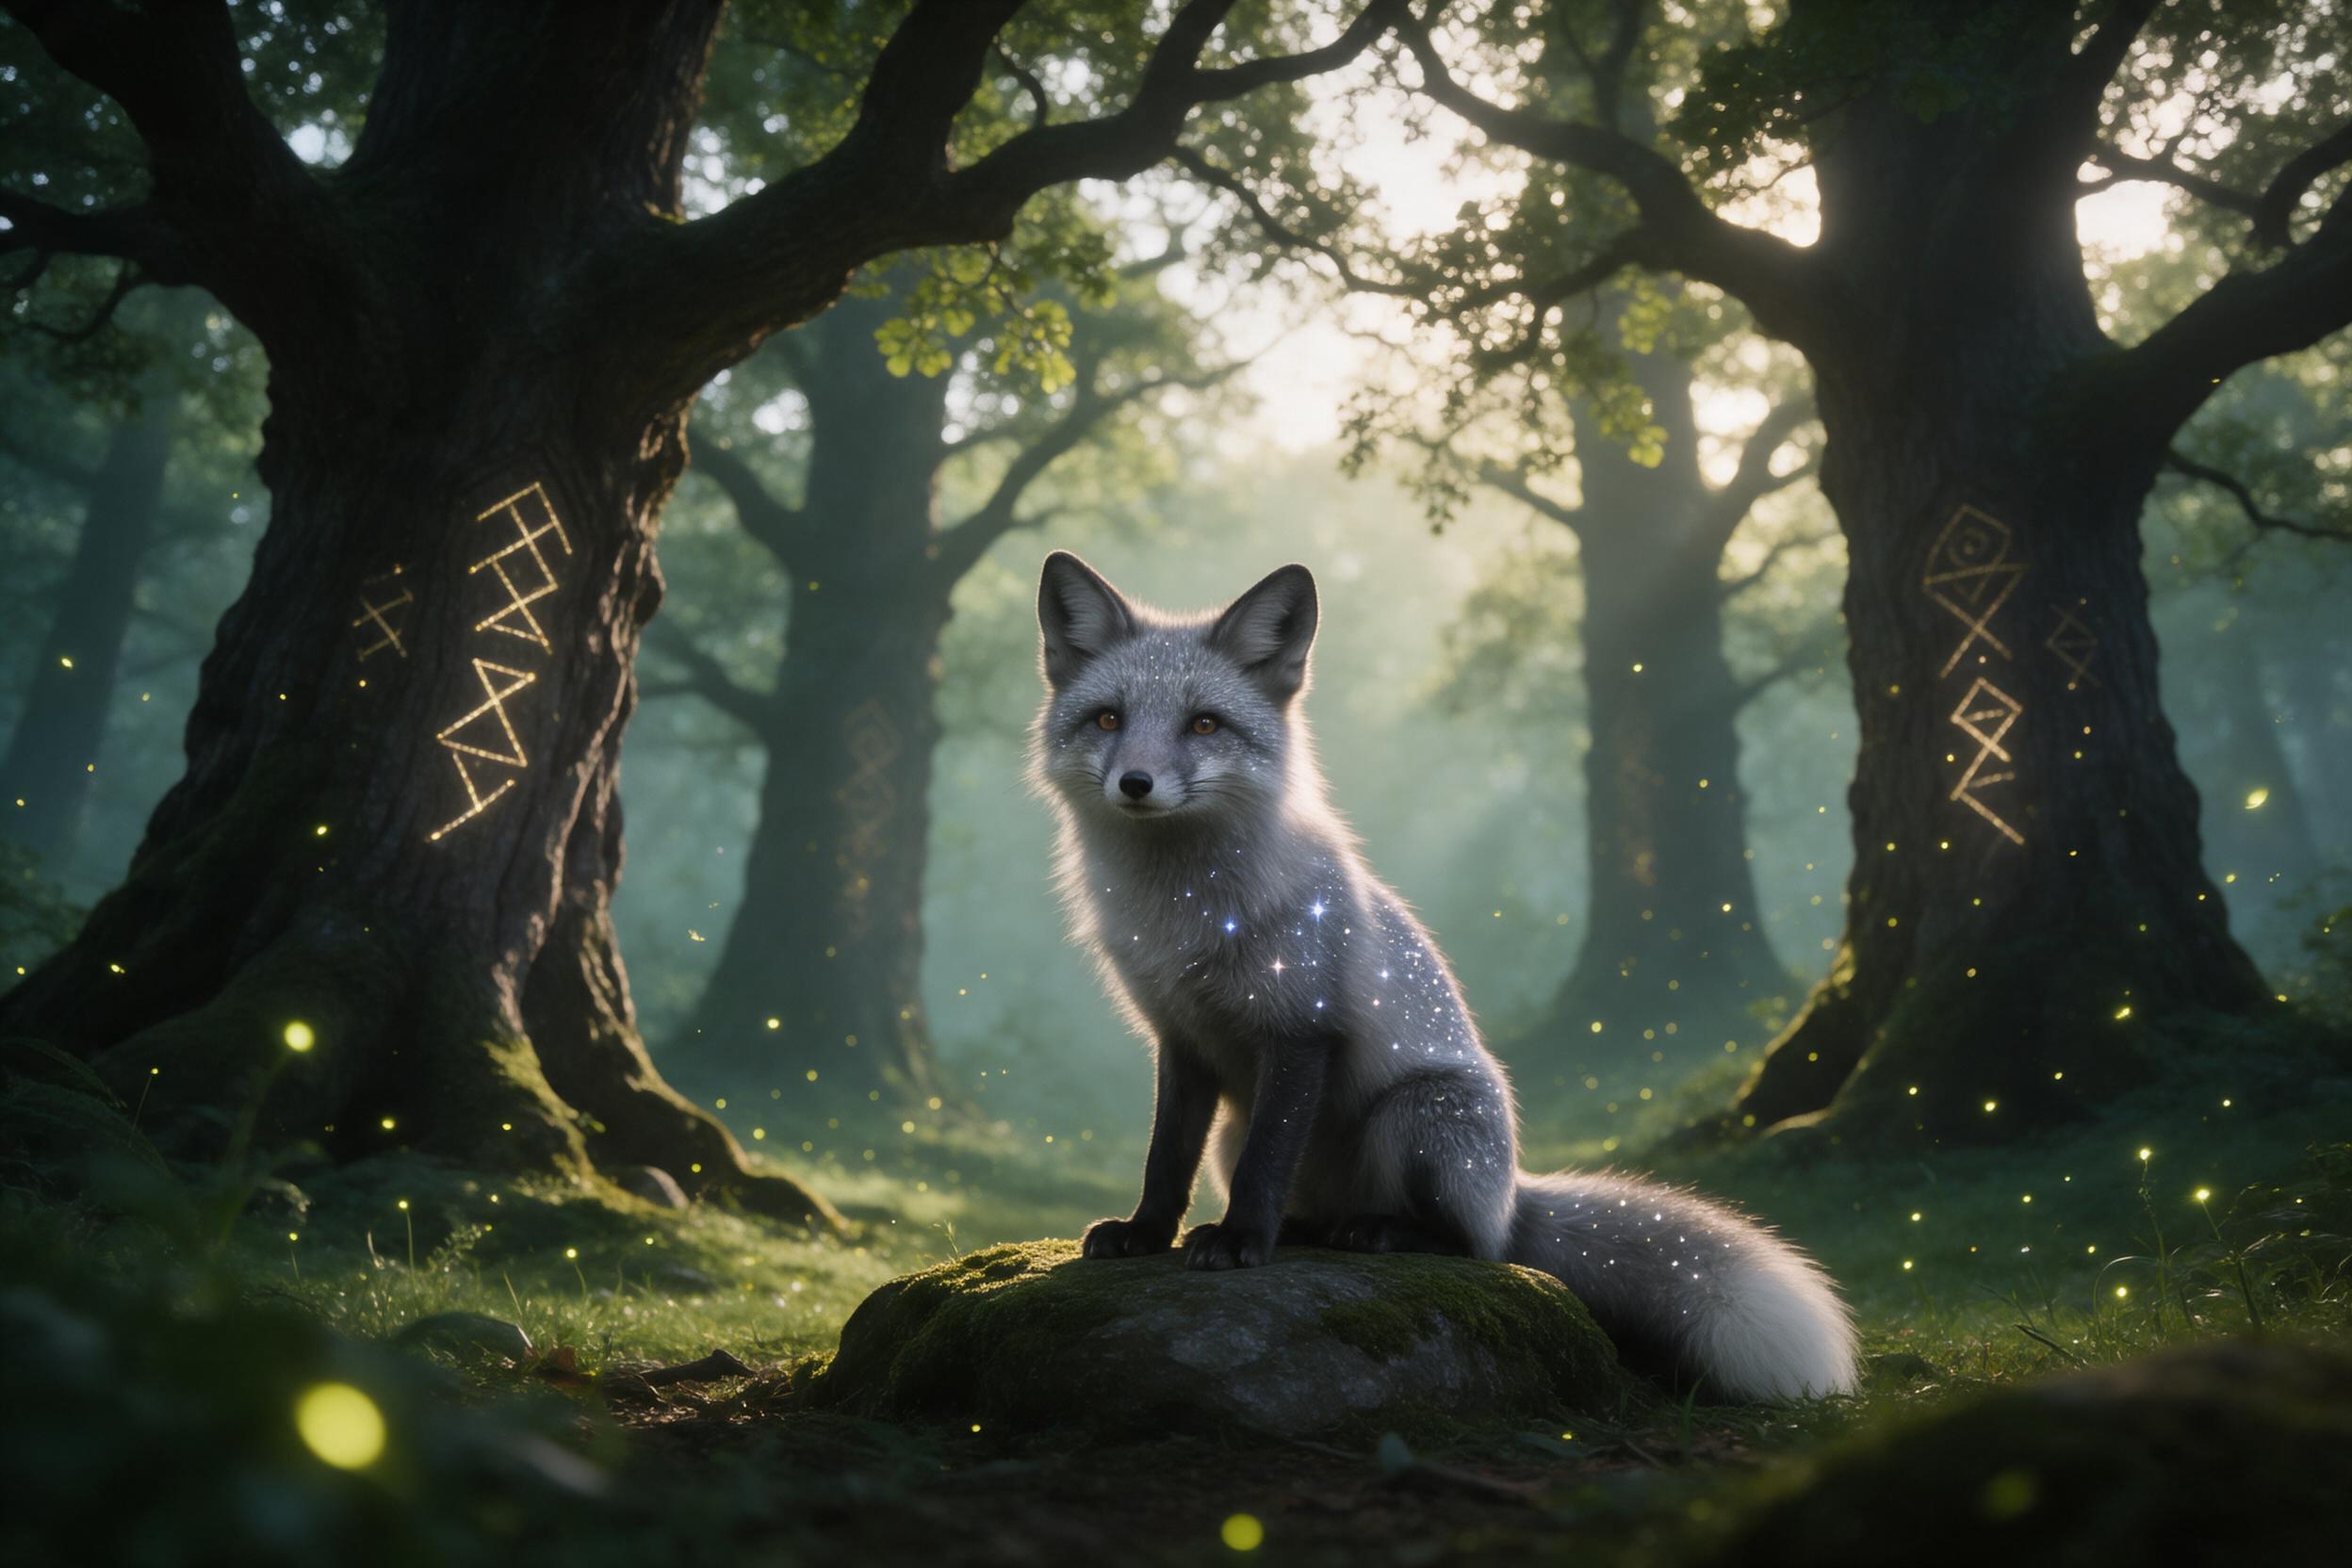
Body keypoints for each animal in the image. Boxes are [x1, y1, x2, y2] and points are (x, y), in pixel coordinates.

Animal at [1028, 551, 1859, 1401]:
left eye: (1203, 723)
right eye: (1107, 720)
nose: (1135, 783)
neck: (1185, 918)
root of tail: (1513, 1193)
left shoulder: (1302, 1027)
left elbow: (1265, 1164)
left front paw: (1239, 1243)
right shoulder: (1181, 1038)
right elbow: (1165, 1157)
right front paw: (1146, 1233)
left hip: (1422, 1114)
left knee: (1470, 1247)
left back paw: (1383, 1232)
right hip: (1249, 1129)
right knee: (1323, 1209)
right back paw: (1310, 1228)